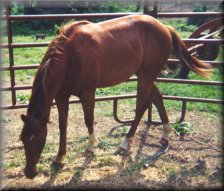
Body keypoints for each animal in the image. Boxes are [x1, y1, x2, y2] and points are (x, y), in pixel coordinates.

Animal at [19, 14, 210, 179]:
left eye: (39, 140)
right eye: (23, 139)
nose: (29, 173)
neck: (70, 55)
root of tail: (164, 27)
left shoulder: (88, 92)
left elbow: (89, 119)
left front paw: (90, 147)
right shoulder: (61, 96)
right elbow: (62, 125)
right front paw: (59, 158)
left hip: (146, 76)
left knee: (141, 106)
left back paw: (126, 143)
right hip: (145, 75)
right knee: (157, 98)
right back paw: (165, 135)